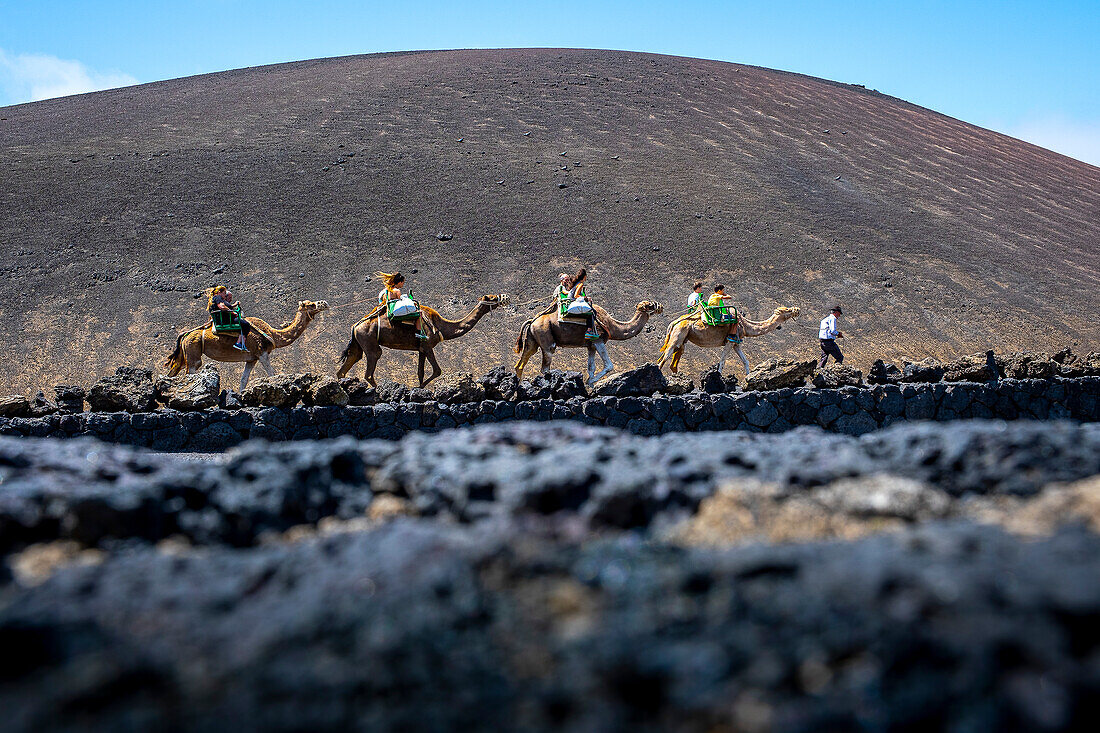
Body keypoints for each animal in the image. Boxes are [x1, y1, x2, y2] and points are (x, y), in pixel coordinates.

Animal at [165, 299, 330, 387]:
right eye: (311, 305)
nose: (324, 303)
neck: (273, 334)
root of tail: (185, 335)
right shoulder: (262, 353)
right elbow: (272, 374)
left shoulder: (252, 359)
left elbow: (244, 380)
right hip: (193, 351)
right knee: (191, 371)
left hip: (185, 353)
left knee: (172, 371)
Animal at [336, 292, 508, 387]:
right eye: (492, 297)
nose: (505, 297)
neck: (442, 327)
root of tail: (355, 326)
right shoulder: (427, 346)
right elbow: (437, 370)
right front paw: (418, 388)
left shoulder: (420, 349)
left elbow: (420, 372)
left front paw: (419, 390)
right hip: (369, 340)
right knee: (371, 367)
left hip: (359, 343)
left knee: (349, 362)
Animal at [512, 299, 660, 385]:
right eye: (651, 305)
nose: (661, 306)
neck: (611, 325)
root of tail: (532, 321)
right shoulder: (598, 340)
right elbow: (609, 365)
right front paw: (589, 382)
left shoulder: (591, 346)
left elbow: (591, 368)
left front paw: (590, 387)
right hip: (545, 336)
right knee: (545, 366)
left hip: (532, 340)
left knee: (521, 363)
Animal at [655, 303, 805, 374]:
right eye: (787, 310)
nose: (797, 309)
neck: (745, 325)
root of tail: (674, 323)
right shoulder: (729, 341)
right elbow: (722, 361)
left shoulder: (736, 343)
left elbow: (745, 361)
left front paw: (748, 377)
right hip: (678, 334)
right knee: (665, 356)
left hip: (683, 338)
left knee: (674, 359)